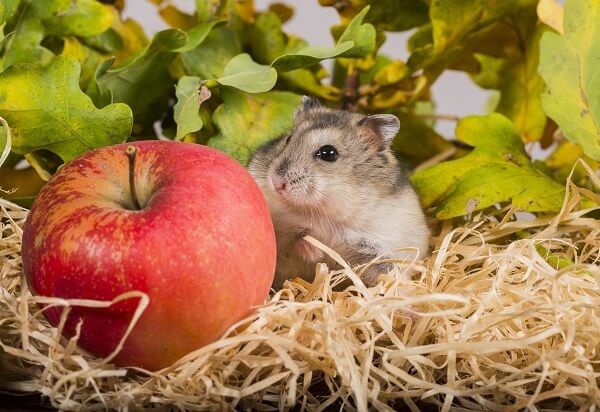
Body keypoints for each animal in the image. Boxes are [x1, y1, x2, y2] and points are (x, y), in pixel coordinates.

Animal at [248, 97, 432, 290]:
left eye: (328, 153)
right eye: (288, 139)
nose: (277, 183)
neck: (327, 211)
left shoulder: (378, 247)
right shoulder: (283, 230)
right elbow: (298, 238)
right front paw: (317, 252)